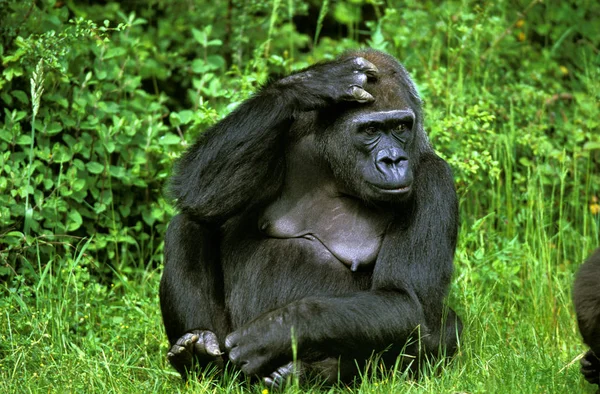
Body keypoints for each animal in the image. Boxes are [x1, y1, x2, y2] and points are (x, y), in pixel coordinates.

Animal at [157, 49, 462, 388]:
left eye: (401, 127)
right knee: (189, 223)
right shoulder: (287, 138)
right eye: (370, 130)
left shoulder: (435, 180)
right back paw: (200, 355)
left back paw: (305, 373)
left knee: (443, 329)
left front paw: (276, 329)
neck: (339, 173)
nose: (393, 160)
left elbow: (406, 300)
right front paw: (313, 82)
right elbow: (197, 188)